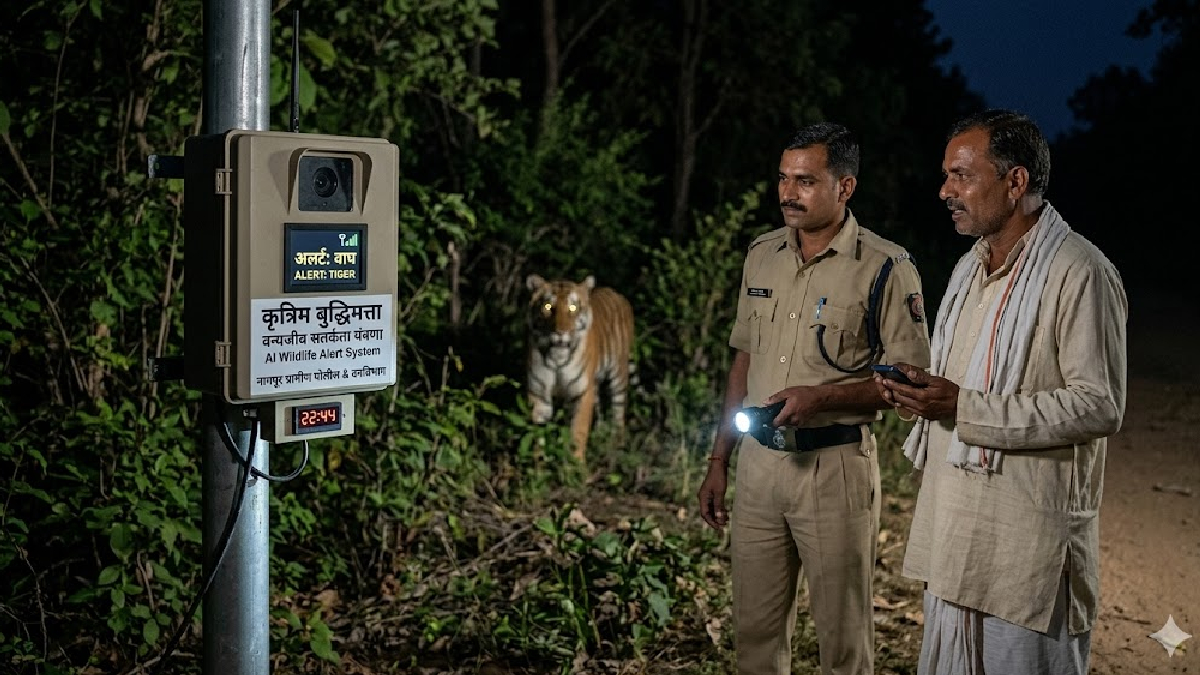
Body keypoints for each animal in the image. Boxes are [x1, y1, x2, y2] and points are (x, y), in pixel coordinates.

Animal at [525, 274, 635, 463]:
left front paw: (575, 466)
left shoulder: (581, 393)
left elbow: (578, 432)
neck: (557, 357)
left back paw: (617, 447)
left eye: (573, 307)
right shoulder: (538, 395)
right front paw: (537, 466)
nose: (560, 333)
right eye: (548, 307)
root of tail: (617, 294)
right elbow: (537, 437)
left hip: (618, 377)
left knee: (618, 413)